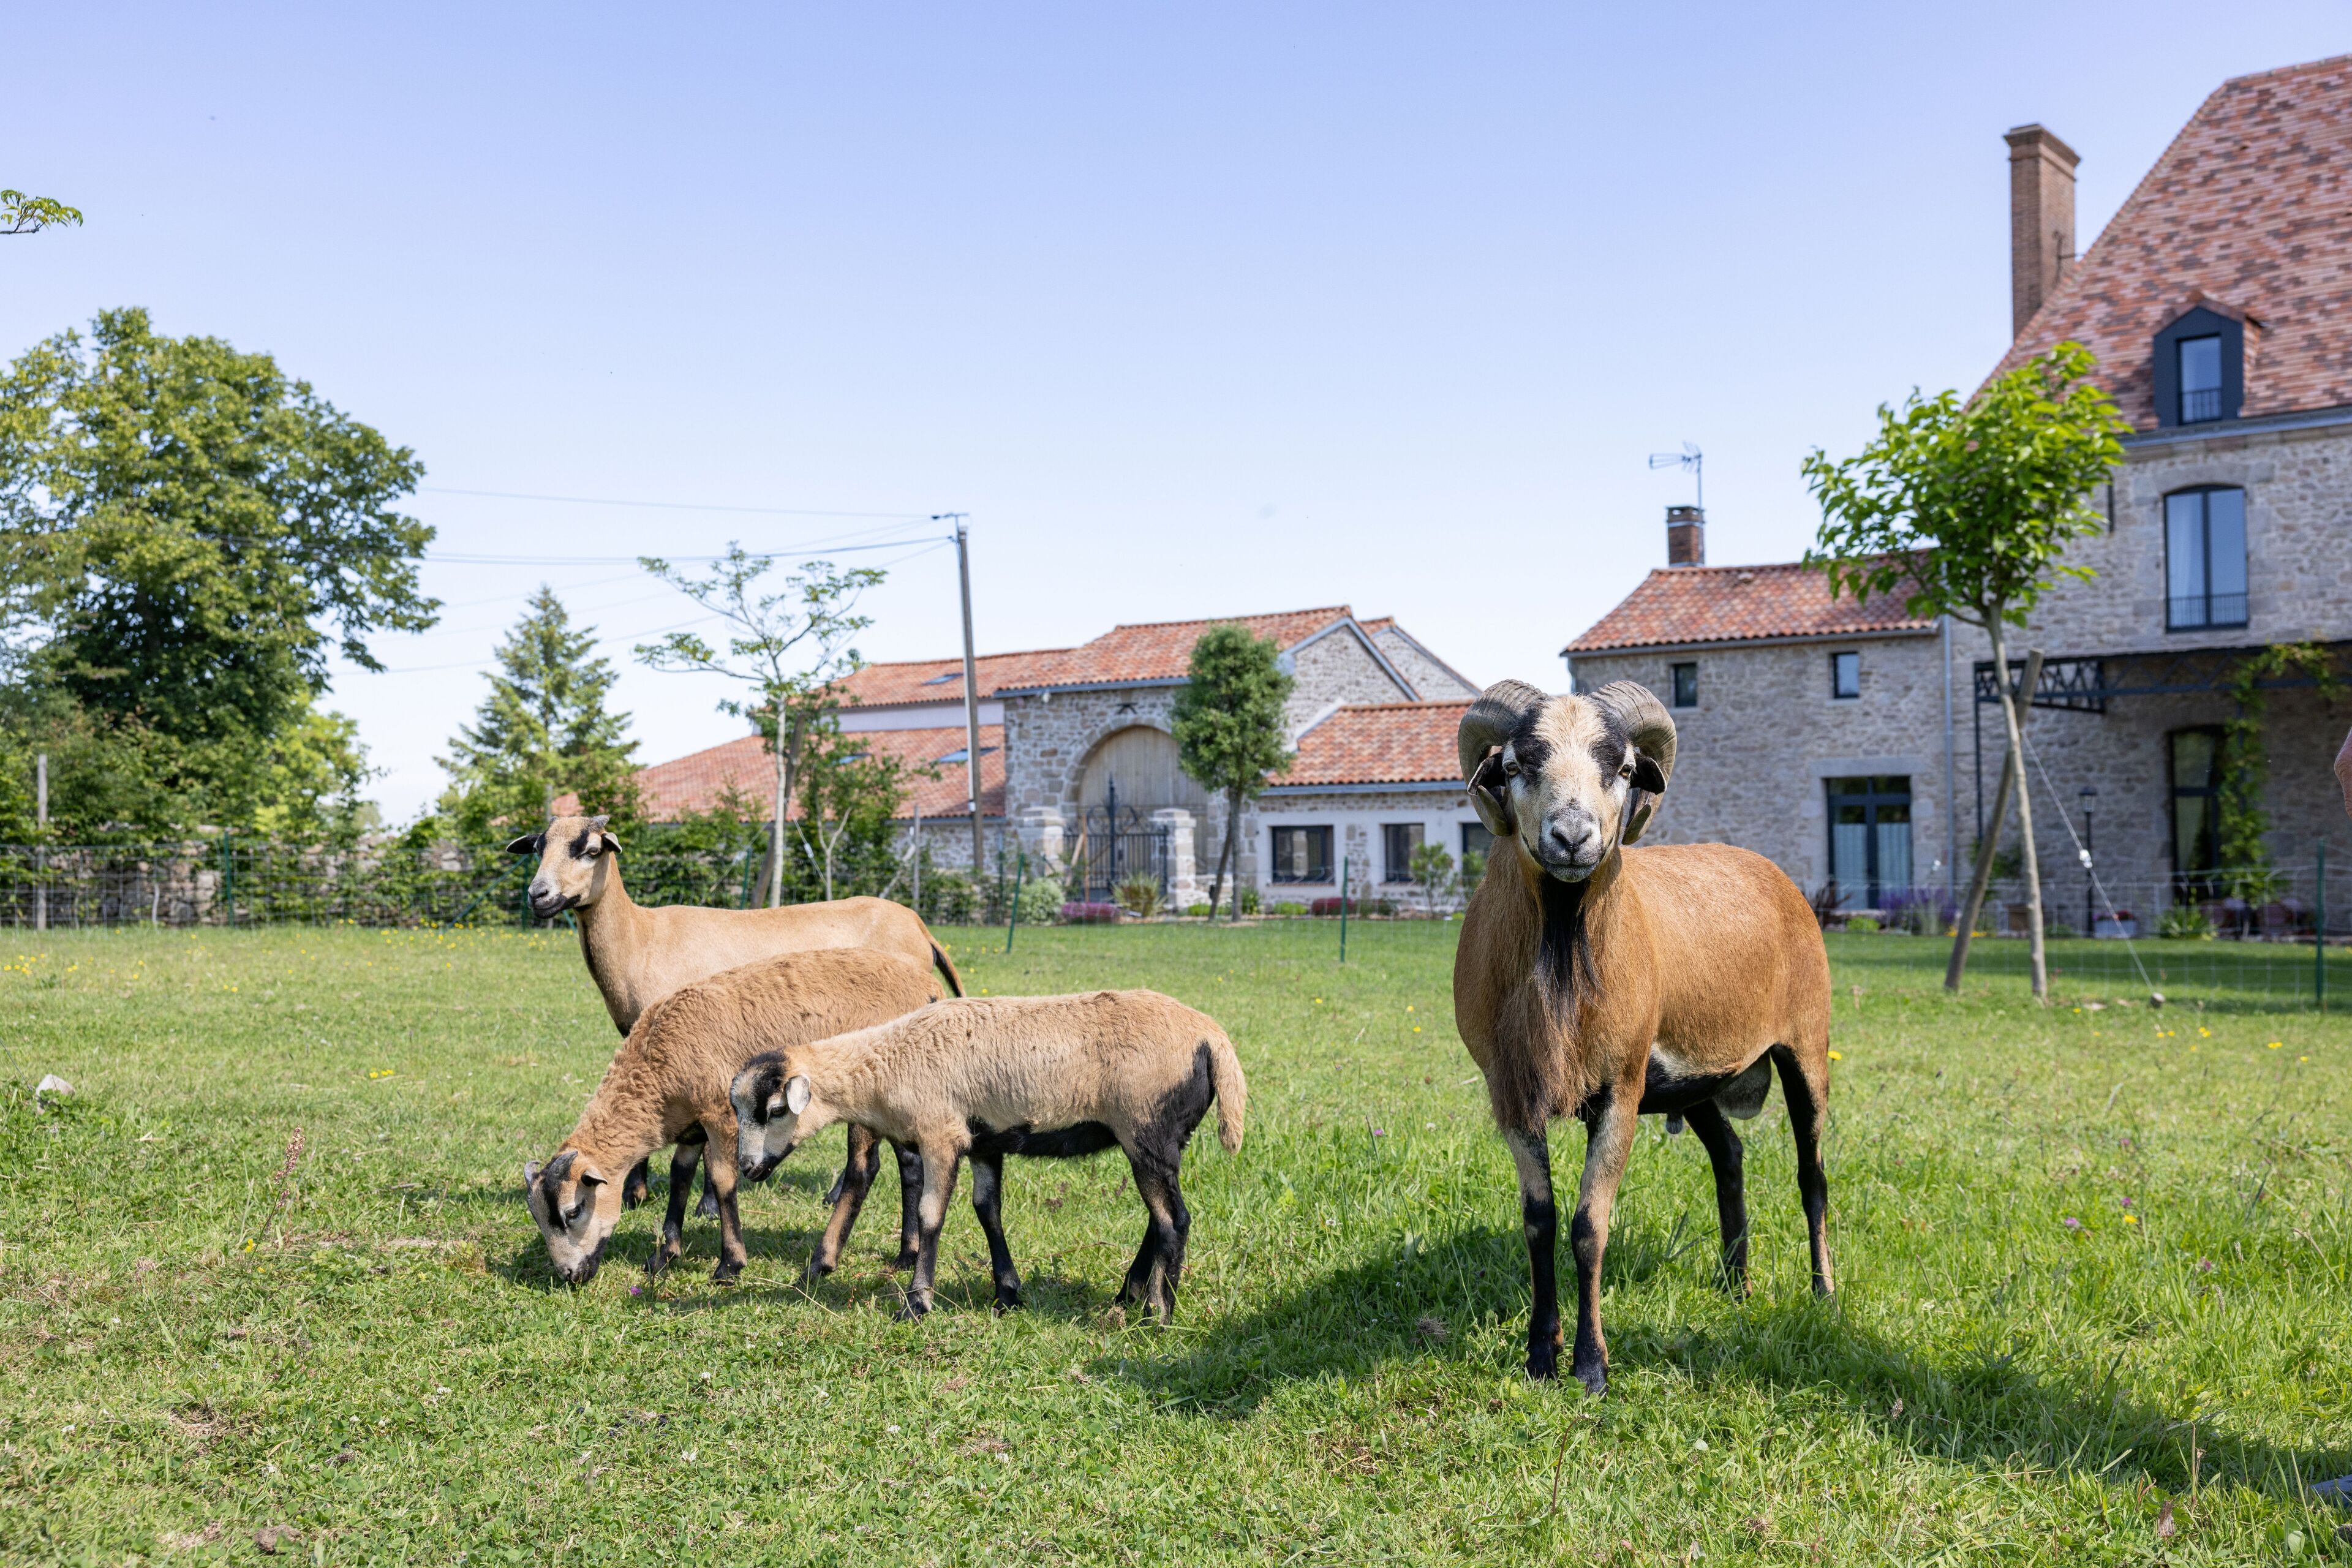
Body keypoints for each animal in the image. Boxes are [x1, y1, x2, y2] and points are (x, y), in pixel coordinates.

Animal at [510, 812, 959, 1248]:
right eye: (538, 848)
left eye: (590, 851)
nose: (538, 896)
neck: (641, 938)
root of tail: (920, 927)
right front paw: (639, 1192)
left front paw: (702, 1205)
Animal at [522, 947, 944, 1286]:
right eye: (538, 1218)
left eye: (573, 1211)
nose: (568, 1276)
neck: (657, 1073)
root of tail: (928, 988)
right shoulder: (691, 1126)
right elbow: (680, 1176)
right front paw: (665, 1255)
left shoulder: (721, 1114)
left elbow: (722, 1180)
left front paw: (730, 1265)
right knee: (910, 1165)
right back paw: (905, 1255)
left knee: (863, 1169)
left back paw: (822, 1263)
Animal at [730, 990, 1245, 1323]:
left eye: (775, 1110)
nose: (748, 1168)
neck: (887, 1066)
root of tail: (1213, 1039)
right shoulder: (984, 1141)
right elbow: (987, 1211)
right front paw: (1007, 1295)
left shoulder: (941, 1134)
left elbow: (931, 1215)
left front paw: (916, 1304)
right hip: (1165, 1138)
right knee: (1157, 1219)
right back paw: (1128, 1295)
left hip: (1147, 1127)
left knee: (1174, 1220)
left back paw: (1158, 1314)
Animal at [1451, 678, 1833, 1392]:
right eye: (1514, 766)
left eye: (1625, 769)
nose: (1573, 836)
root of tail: (1771, 872)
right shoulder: (1510, 1092)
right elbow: (1539, 1222)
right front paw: (1539, 1355)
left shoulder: (1621, 1090)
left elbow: (1588, 1225)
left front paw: (1591, 1365)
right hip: (1695, 1083)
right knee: (1731, 1155)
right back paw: (1734, 1284)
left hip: (1807, 1048)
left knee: (1812, 1175)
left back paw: (1824, 1295)